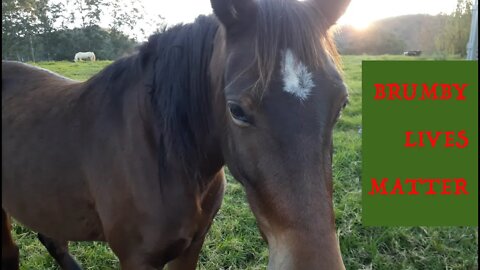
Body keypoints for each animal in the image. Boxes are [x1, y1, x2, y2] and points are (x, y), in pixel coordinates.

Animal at [1, 0, 350, 268]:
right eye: (236, 109)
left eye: (342, 103)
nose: (316, 262)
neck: (161, 153)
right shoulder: (137, 258)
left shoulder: (192, 245)